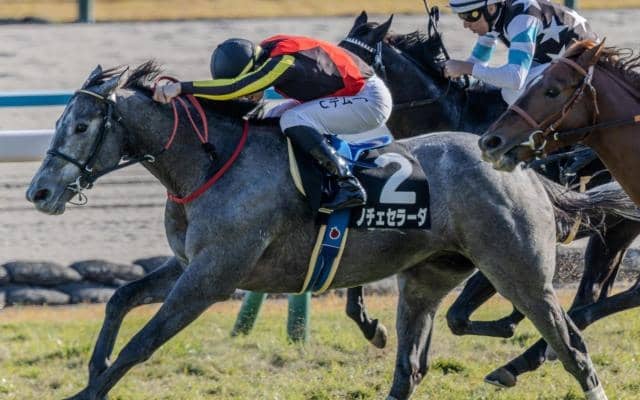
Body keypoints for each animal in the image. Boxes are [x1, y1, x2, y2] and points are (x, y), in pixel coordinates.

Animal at [25, 62, 627, 400]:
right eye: (58, 123)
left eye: (81, 126)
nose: (39, 193)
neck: (209, 161)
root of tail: (522, 168)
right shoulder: (187, 264)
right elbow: (119, 299)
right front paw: (94, 365)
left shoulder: (213, 277)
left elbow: (142, 343)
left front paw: (87, 392)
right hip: (426, 280)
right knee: (409, 369)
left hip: (520, 274)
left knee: (572, 347)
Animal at [343, 11, 640, 387]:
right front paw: (371, 325)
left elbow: (458, 315)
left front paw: (510, 321)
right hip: (613, 232)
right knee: (594, 292)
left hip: (618, 227)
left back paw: (528, 356)